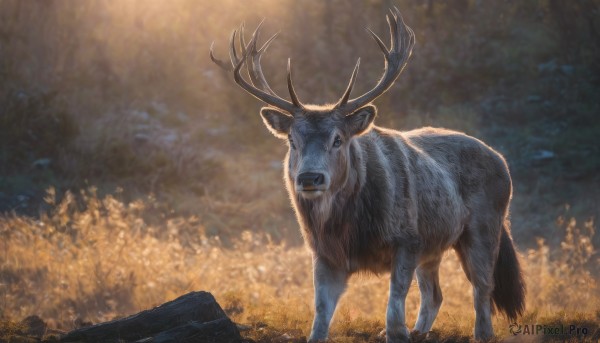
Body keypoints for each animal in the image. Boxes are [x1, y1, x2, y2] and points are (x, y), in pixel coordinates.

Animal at [210, 6, 524, 343]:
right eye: (292, 141)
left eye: (338, 139)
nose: (309, 178)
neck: (349, 230)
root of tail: (501, 160)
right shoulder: (323, 253)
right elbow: (319, 317)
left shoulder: (408, 239)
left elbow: (394, 315)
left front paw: (397, 331)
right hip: (435, 245)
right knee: (435, 294)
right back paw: (421, 332)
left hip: (485, 225)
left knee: (483, 289)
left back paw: (479, 331)